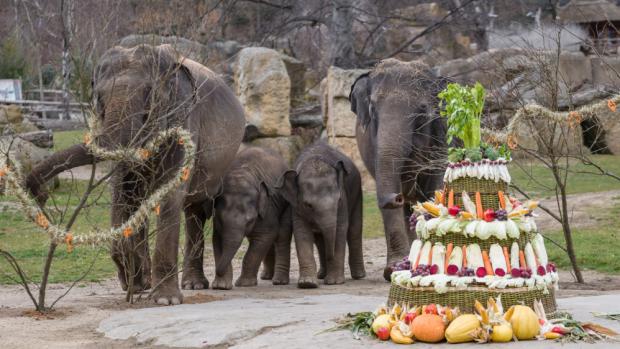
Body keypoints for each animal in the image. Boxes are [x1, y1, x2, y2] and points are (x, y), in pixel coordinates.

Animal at [26, 44, 245, 304]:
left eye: (150, 97)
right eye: (98, 99)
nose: (39, 195)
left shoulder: (185, 118)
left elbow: (169, 193)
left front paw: (164, 300)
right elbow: (125, 193)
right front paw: (138, 283)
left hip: (228, 161)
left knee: (206, 208)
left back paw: (213, 285)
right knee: (188, 210)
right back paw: (186, 284)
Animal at [212, 145, 292, 288]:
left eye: (250, 221)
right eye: (220, 219)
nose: (217, 271)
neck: (241, 173)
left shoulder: (268, 207)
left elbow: (266, 236)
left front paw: (243, 284)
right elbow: (217, 239)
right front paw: (220, 286)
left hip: (286, 203)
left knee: (282, 234)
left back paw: (278, 281)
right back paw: (266, 276)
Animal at [280, 140, 366, 286]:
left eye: (338, 200)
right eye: (308, 205)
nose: (330, 256)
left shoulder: (343, 199)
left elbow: (340, 229)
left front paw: (334, 282)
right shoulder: (296, 206)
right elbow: (302, 232)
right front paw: (307, 283)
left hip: (357, 192)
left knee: (354, 230)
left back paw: (359, 275)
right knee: (319, 241)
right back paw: (321, 275)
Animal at [348, 57, 450, 280]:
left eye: (422, 112)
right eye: (372, 110)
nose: (396, 197)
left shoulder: (443, 137)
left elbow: (434, 188)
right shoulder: (373, 144)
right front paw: (393, 270)